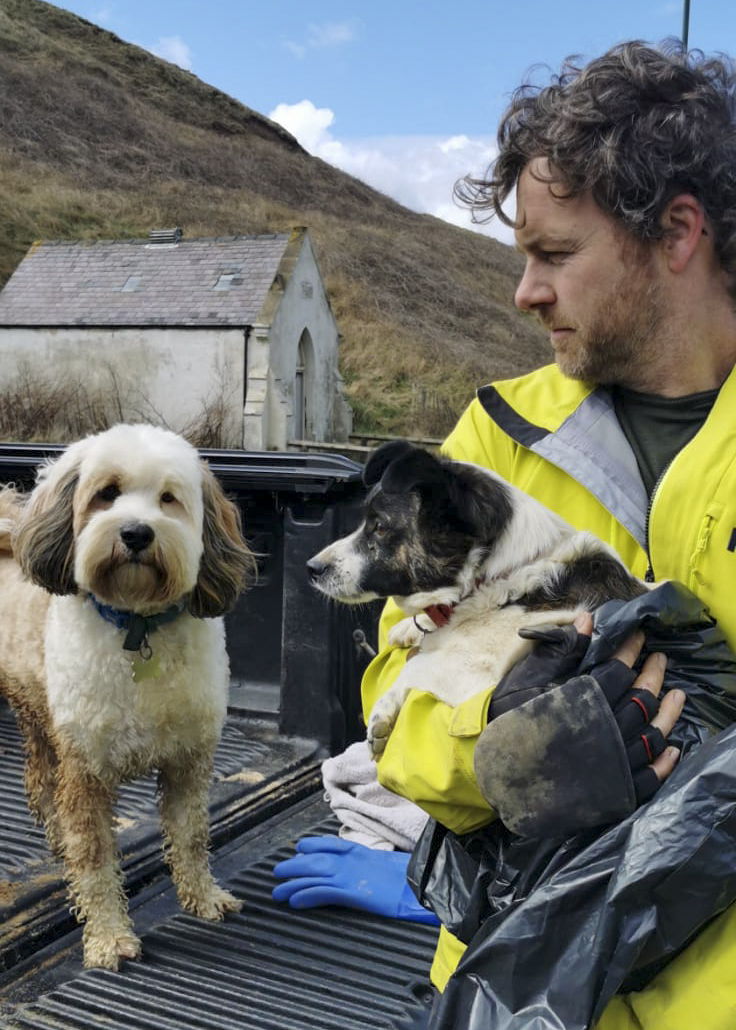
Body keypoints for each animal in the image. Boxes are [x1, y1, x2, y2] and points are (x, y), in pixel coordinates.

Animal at [0, 426, 255, 972]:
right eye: (107, 493)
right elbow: (96, 858)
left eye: (169, 499)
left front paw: (203, 897)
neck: (139, 628)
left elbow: (191, 837)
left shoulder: (188, 761)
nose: (137, 533)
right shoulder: (86, 771)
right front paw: (108, 937)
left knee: (40, 783)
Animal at [304, 438, 646, 753]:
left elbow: (415, 667)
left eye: (379, 527)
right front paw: (408, 629)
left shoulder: (478, 671)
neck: (501, 577)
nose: (312, 568)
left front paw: (384, 711)